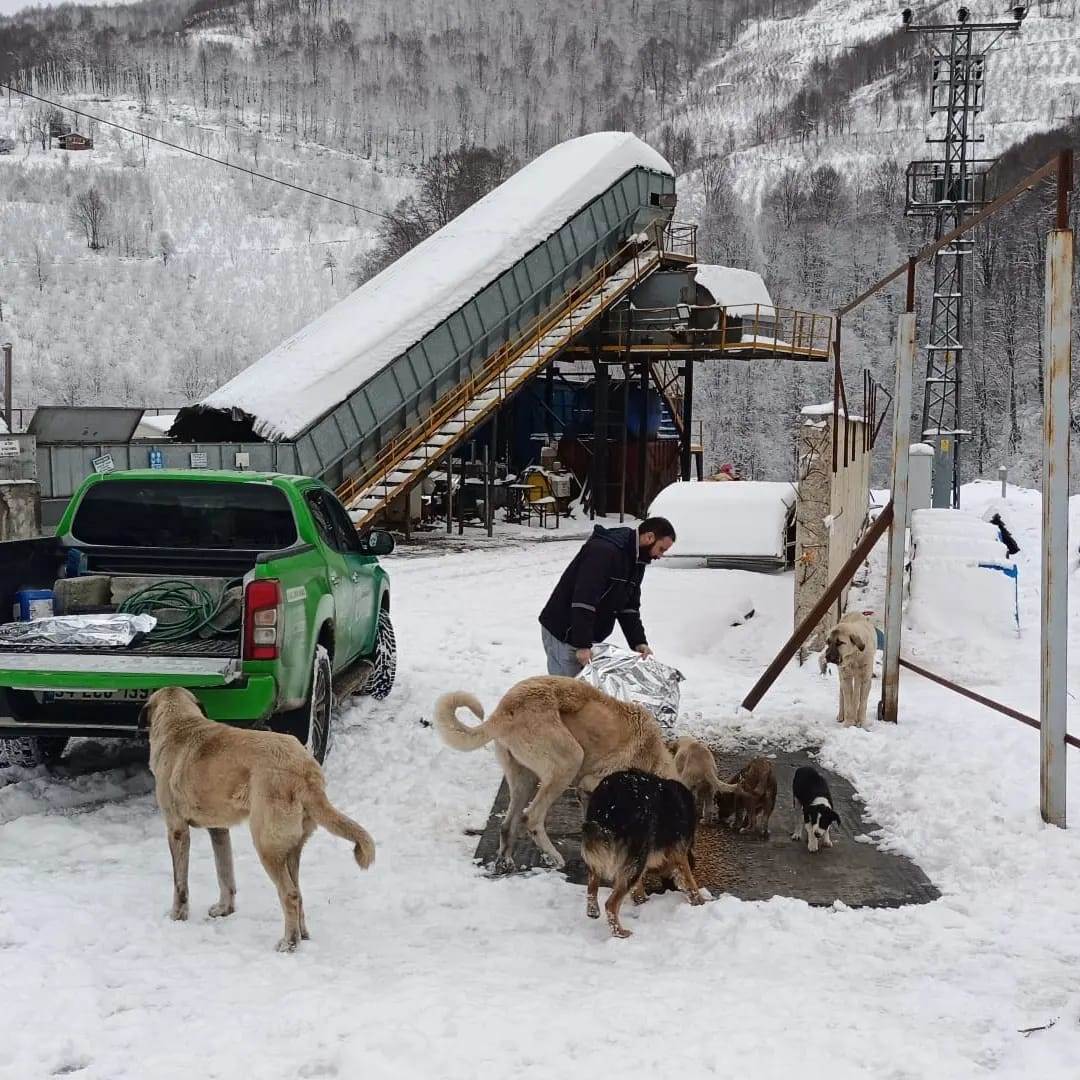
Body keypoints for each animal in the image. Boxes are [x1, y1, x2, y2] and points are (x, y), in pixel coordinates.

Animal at [142, 686, 375, 950]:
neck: (180, 723)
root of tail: (305, 771)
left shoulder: (177, 830)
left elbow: (180, 883)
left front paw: (177, 916)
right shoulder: (219, 830)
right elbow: (225, 873)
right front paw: (225, 909)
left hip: (267, 847)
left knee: (289, 894)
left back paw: (288, 944)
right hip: (289, 850)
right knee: (299, 892)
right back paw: (301, 935)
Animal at [432, 673, 673, 868]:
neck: (653, 759)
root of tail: (502, 712)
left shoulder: (587, 792)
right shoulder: (592, 783)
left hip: (524, 779)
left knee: (507, 824)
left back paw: (506, 861)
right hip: (569, 762)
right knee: (531, 817)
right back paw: (553, 857)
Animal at [578, 768, 704, 937]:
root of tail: (609, 801)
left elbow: (638, 887)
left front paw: (641, 900)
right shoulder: (678, 851)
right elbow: (689, 879)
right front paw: (700, 901)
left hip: (604, 850)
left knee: (592, 885)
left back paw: (593, 910)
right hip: (638, 854)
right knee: (611, 904)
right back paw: (619, 932)